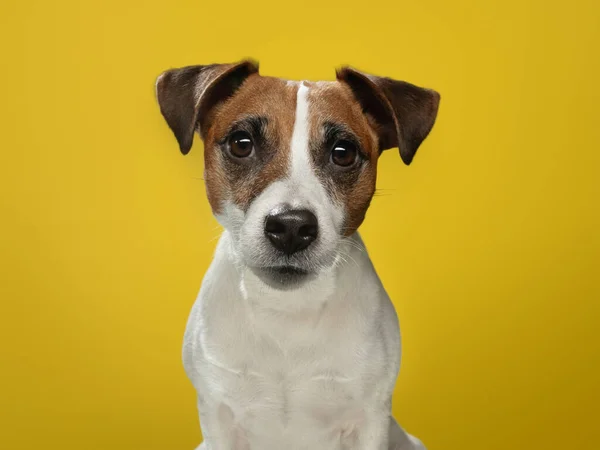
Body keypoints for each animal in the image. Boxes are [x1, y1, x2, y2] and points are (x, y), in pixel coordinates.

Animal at [155, 60, 440, 450]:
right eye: (241, 144)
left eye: (343, 152)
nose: (290, 227)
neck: (287, 309)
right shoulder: (219, 416)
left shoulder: (368, 418)